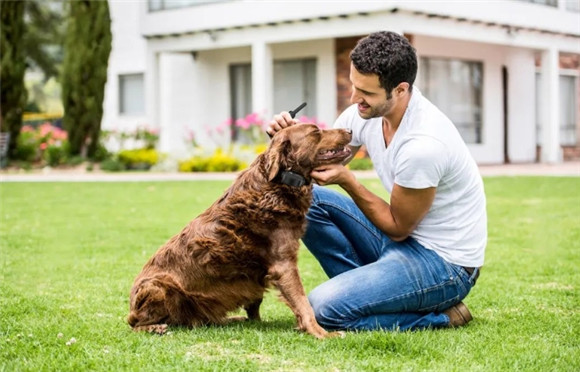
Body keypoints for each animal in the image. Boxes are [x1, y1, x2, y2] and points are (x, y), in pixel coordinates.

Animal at [127, 123, 352, 338]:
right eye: (315, 131)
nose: (349, 130)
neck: (278, 185)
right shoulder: (284, 264)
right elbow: (303, 303)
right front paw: (321, 333)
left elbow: (257, 305)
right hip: (157, 287)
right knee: (136, 324)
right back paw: (155, 327)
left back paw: (232, 319)